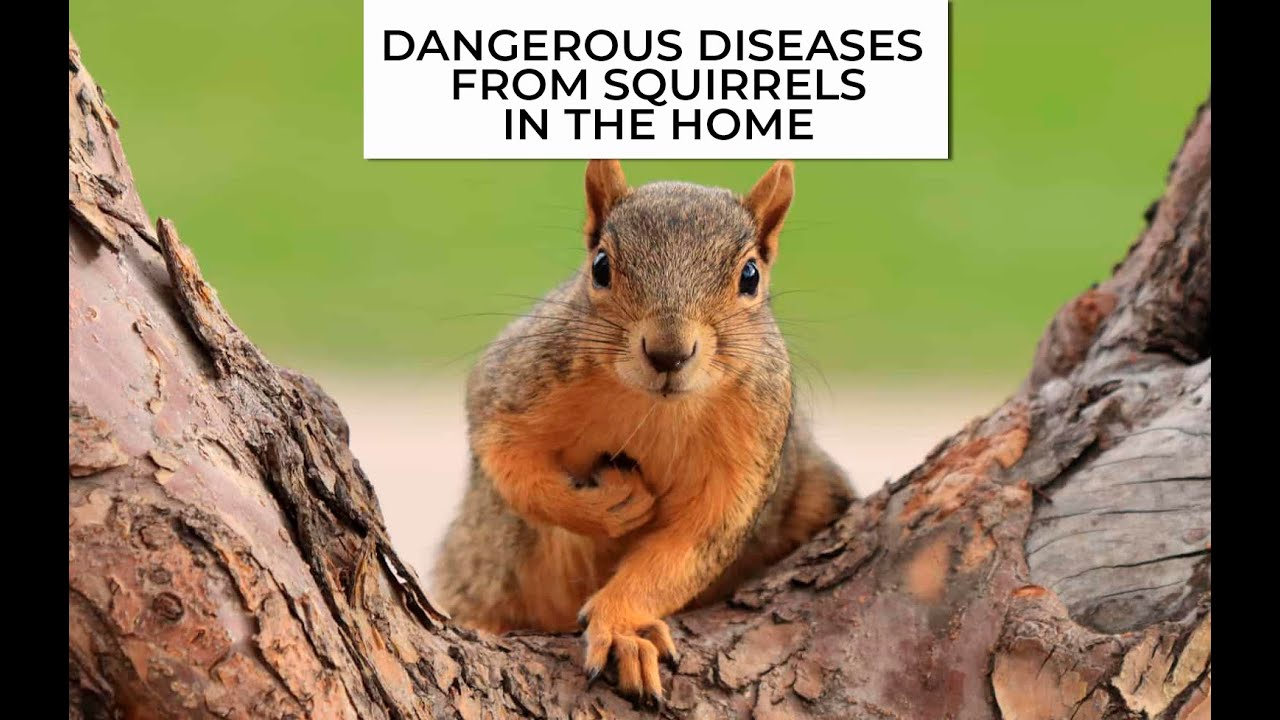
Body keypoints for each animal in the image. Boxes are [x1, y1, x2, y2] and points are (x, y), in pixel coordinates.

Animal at [432, 160, 854, 705]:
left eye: (751, 276)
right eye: (600, 266)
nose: (668, 354)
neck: (653, 408)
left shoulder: (750, 450)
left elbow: (689, 547)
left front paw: (622, 628)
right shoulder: (515, 382)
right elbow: (508, 462)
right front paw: (605, 507)